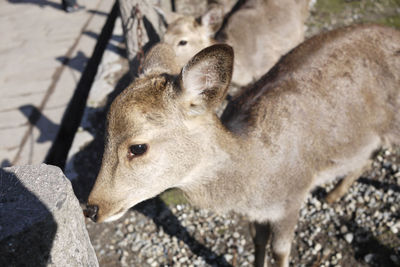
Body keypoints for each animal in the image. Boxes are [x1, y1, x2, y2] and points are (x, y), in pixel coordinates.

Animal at [85, 24, 400, 266]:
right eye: (105, 135)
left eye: (138, 147)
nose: (91, 208)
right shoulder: (257, 213)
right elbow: (258, 242)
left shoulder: (293, 196)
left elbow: (280, 251)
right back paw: (334, 195)